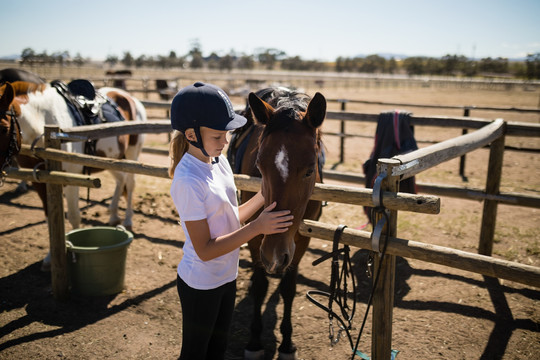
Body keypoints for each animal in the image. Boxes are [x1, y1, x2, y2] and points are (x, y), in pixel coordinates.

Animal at [228, 86, 324, 358]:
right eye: (259, 166)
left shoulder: (301, 239)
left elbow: (288, 288)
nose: (273, 256)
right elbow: (261, 286)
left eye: (309, 170)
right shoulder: (256, 237)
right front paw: (254, 341)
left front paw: (287, 343)